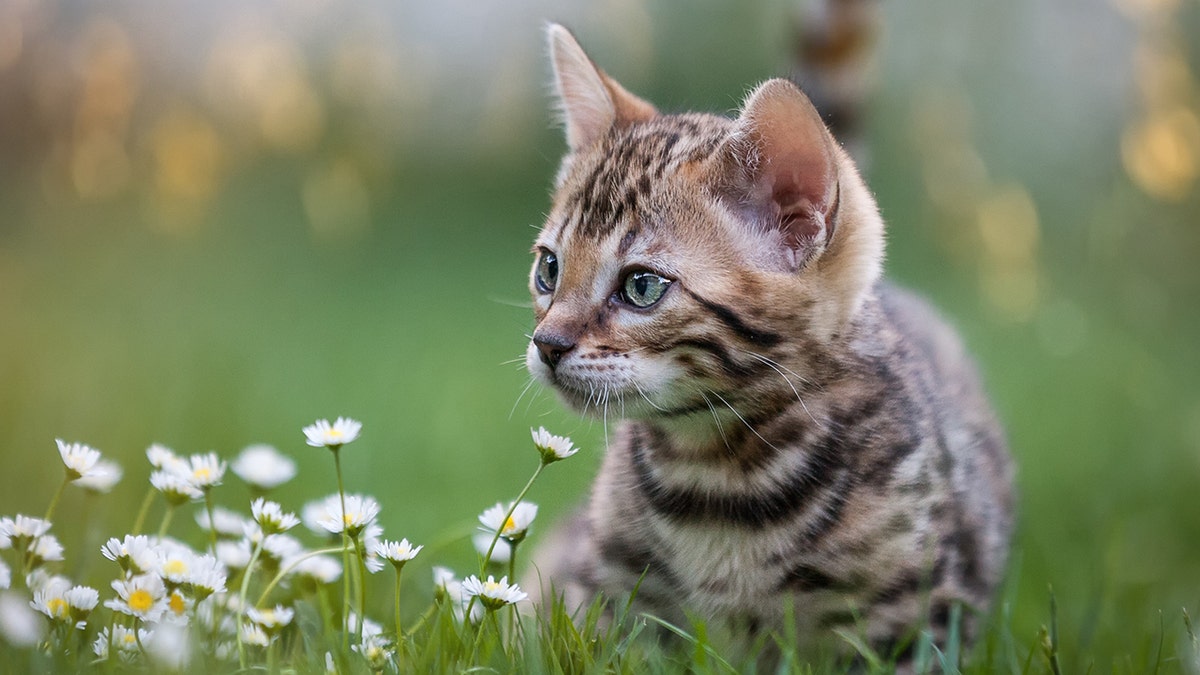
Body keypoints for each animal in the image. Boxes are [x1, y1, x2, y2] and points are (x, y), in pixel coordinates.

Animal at [525, 22, 1012, 658]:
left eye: (641, 287)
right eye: (549, 269)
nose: (547, 343)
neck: (715, 475)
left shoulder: (916, 618)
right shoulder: (613, 601)